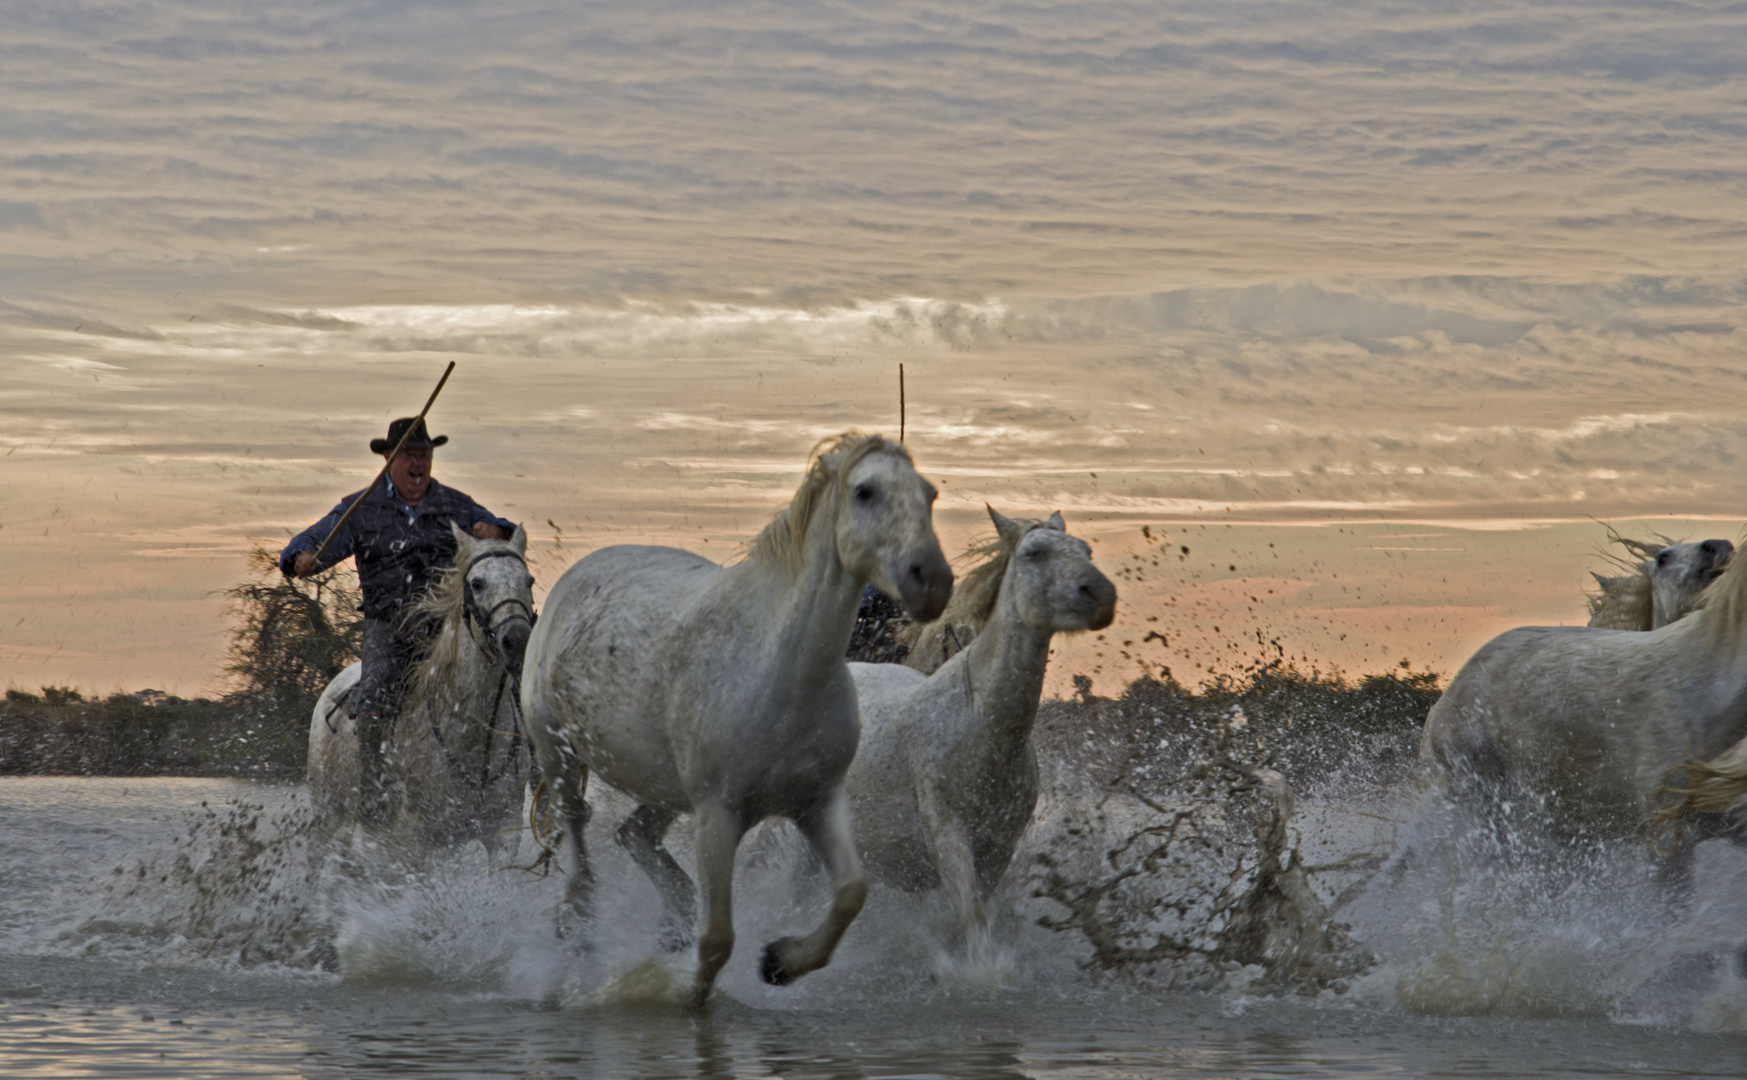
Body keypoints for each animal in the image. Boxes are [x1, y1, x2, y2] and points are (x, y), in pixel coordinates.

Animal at [520, 431, 957, 999]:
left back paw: (671, 923)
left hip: (665, 787)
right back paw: (579, 924)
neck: (779, 673)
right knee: (577, 828)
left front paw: (781, 961)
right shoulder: (718, 817)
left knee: (634, 834)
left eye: (930, 494)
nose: (933, 581)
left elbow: (851, 893)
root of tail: (574, 577)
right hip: (558, 752)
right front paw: (686, 997)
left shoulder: (818, 802)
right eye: (865, 492)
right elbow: (719, 940)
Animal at [849, 503, 1118, 950]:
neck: (979, 726)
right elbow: (975, 929)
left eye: (1086, 549)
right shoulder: (949, 841)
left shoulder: (998, 849)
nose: (1101, 595)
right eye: (1033, 553)